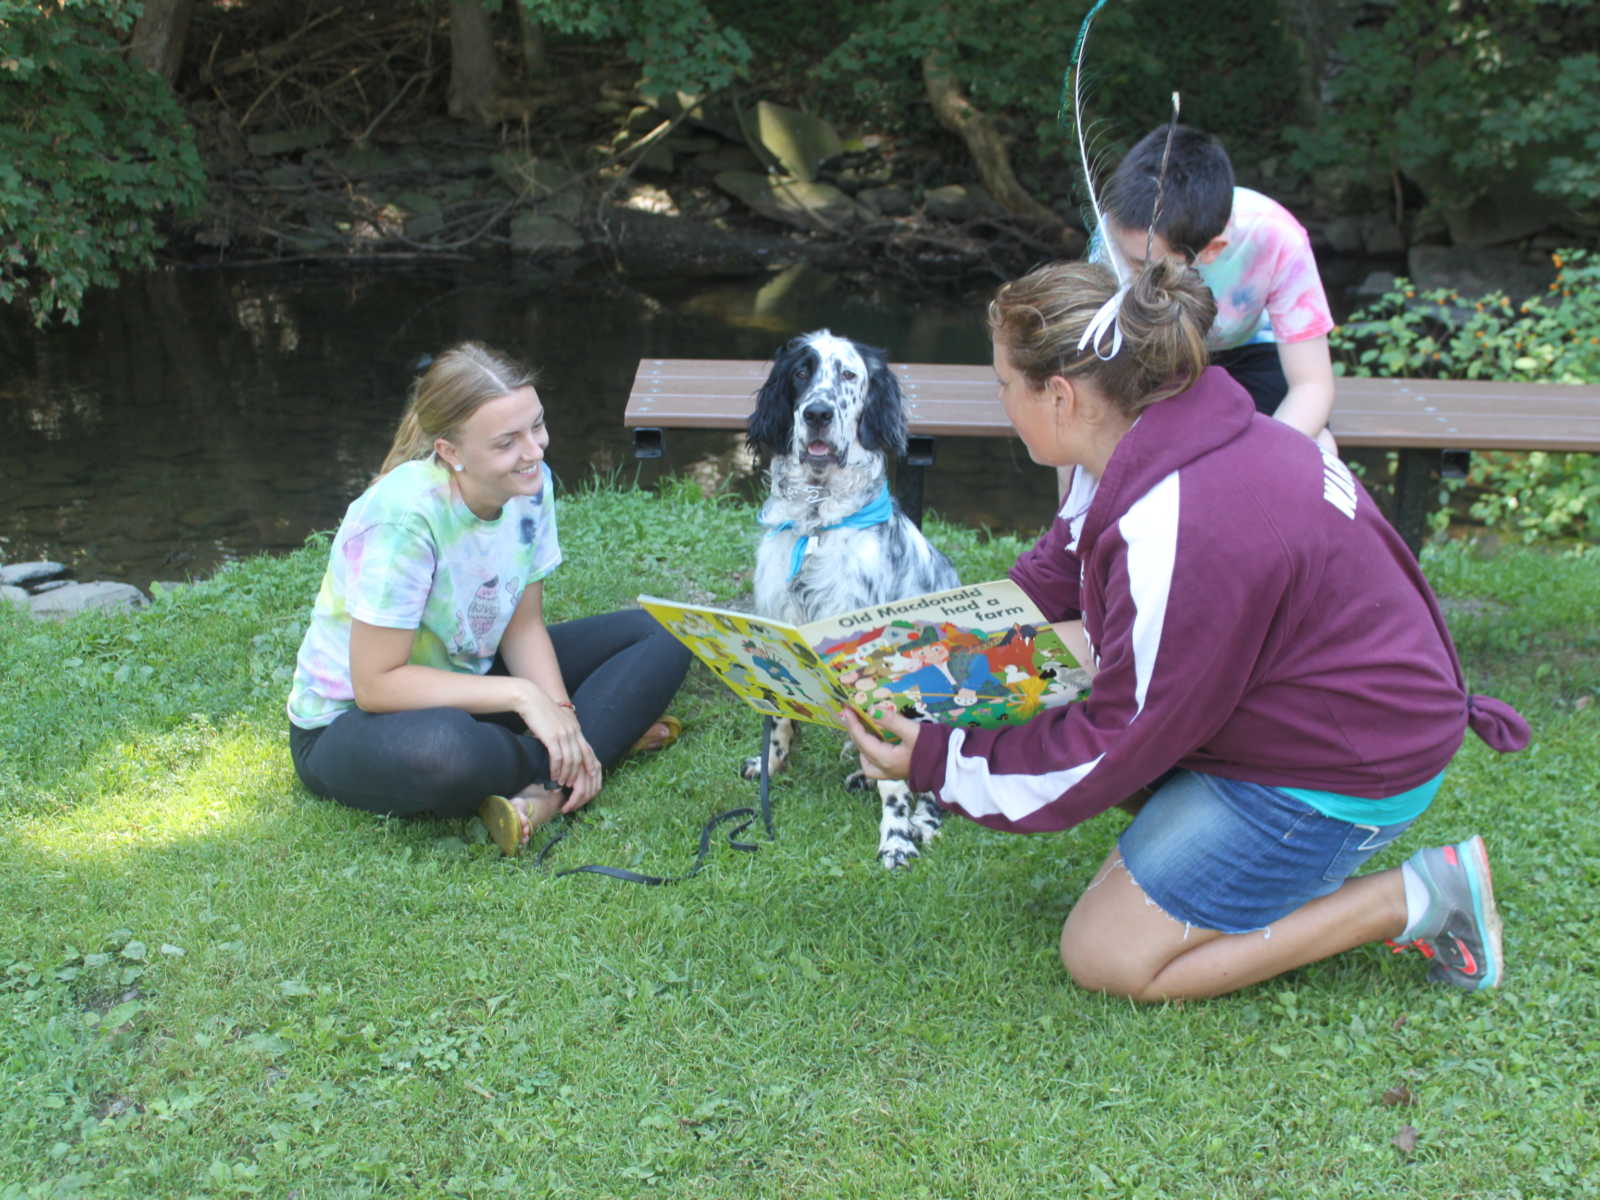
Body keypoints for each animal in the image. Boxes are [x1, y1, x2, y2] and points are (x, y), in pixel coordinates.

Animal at [742, 334, 953, 870]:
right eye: (801, 372)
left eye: (849, 375)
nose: (817, 413)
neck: (817, 523)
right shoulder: (778, 625)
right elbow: (779, 718)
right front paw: (772, 762)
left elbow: (900, 782)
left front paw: (896, 838)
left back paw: (922, 820)